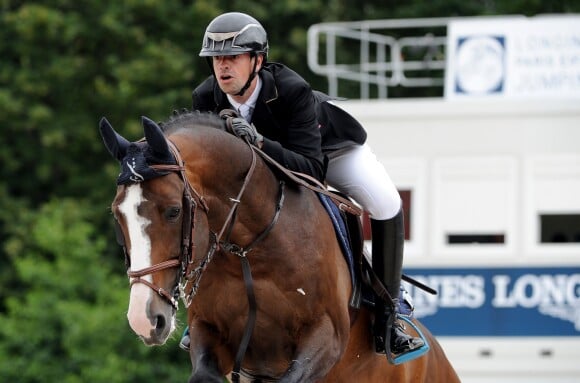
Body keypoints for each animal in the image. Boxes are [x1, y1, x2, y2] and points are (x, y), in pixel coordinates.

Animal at [101, 111, 462, 383]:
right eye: (118, 217)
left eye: (174, 211)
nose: (144, 319)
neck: (249, 250)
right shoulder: (210, 330)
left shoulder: (327, 336)